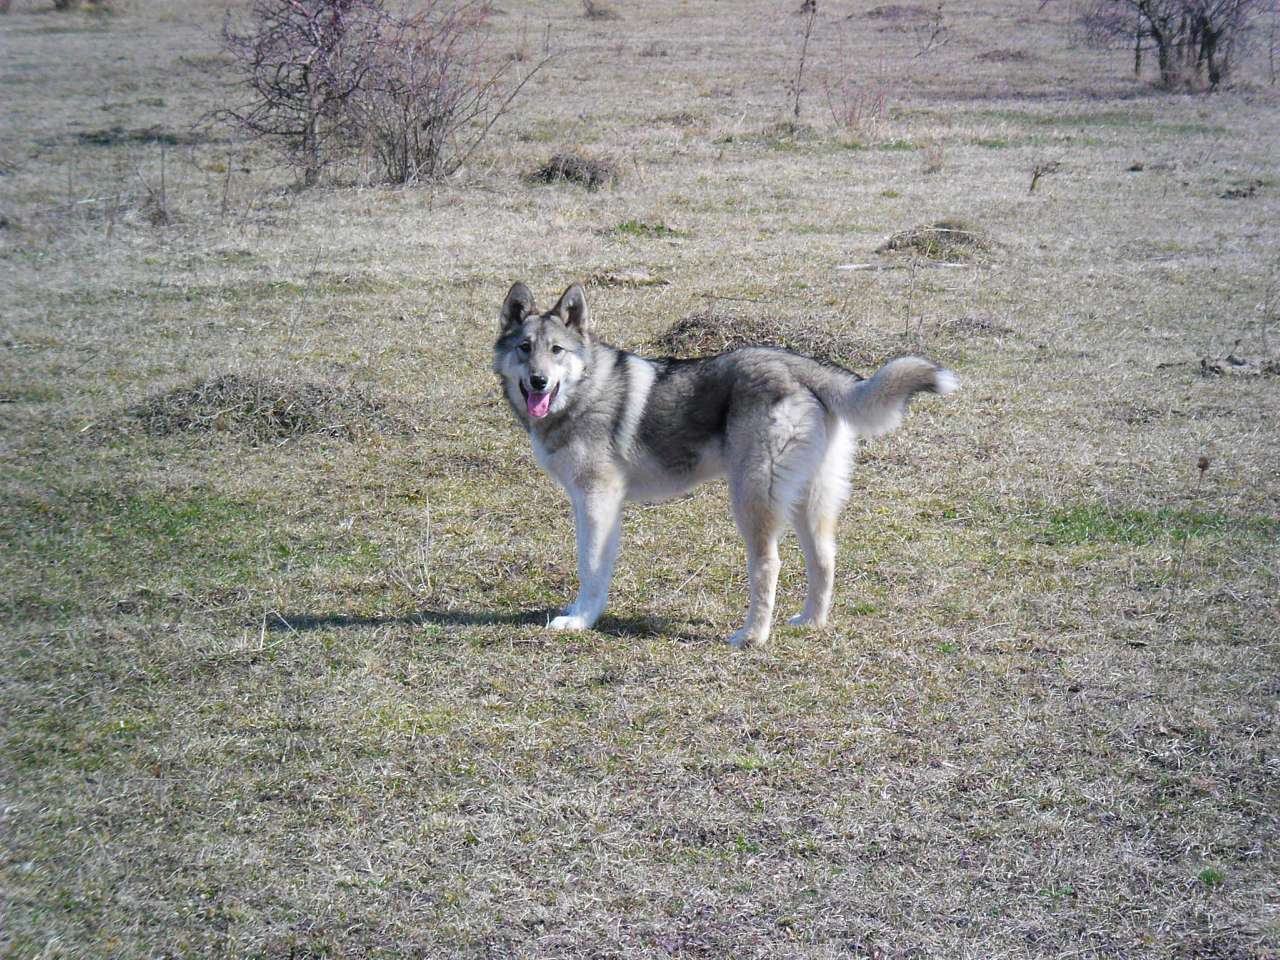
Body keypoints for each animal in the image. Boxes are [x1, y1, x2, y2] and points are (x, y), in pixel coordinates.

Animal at [494, 281, 957, 650]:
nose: (538, 381)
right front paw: (582, 612)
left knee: (769, 565)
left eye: (557, 351)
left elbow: (589, 565)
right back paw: (811, 622)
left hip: (752, 498)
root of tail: (801, 365)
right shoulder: (591, 504)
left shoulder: (597, 500)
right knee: (824, 559)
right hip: (807, 501)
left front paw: (580, 620)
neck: (585, 389)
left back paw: (753, 636)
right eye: (524, 349)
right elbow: (595, 564)